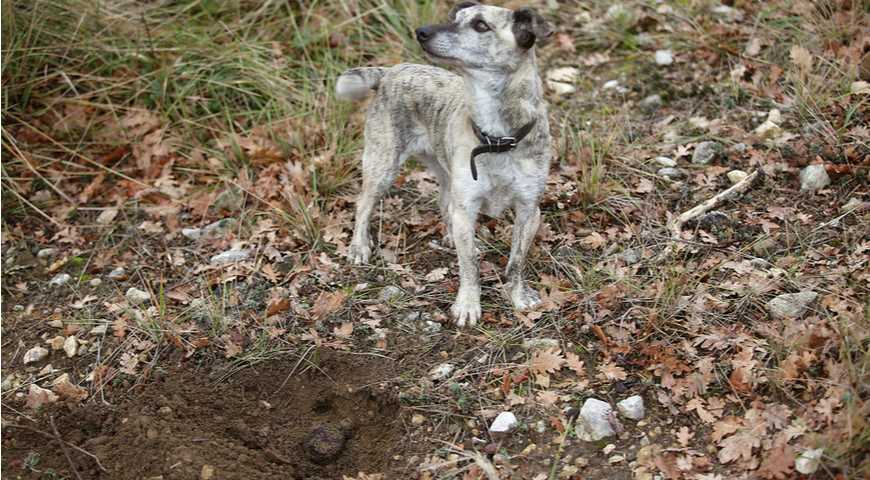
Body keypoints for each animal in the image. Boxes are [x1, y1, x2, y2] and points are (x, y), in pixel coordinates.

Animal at [338, 0, 556, 326]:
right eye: (455, 17)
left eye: (481, 25)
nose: (421, 31)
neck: (496, 138)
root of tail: (389, 71)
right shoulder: (467, 207)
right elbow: (470, 265)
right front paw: (468, 304)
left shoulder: (529, 210)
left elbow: (516, 261)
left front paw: (518, 296)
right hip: (383, 165)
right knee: (363, 203)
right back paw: (359, 247)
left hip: (445, 173)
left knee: (444, 203)